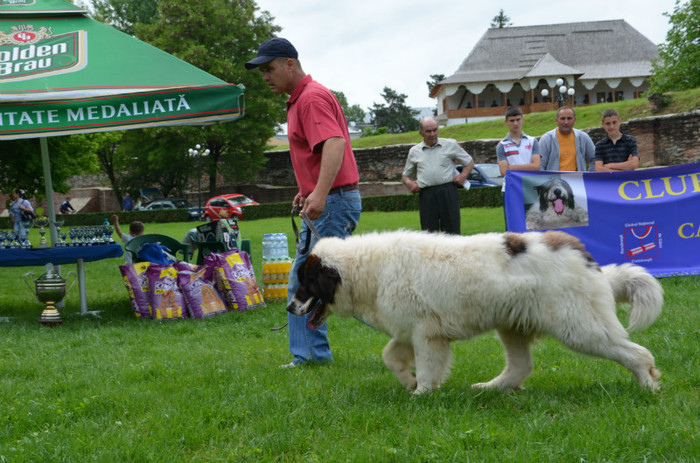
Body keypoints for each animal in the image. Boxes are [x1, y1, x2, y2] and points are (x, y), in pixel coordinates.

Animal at [286, 230, 660, 394]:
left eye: (305, 283)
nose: (290, 306)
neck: (368, 269)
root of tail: (583, 256)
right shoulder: (409, 330)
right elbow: (390, 355)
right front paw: (408, 379)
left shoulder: (425, 334)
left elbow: (427, 366)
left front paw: (421, 392)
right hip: (512, 324)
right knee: (521, 365)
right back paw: (493, 387)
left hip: (580, 327)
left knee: (636, 352)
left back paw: (648, 384)